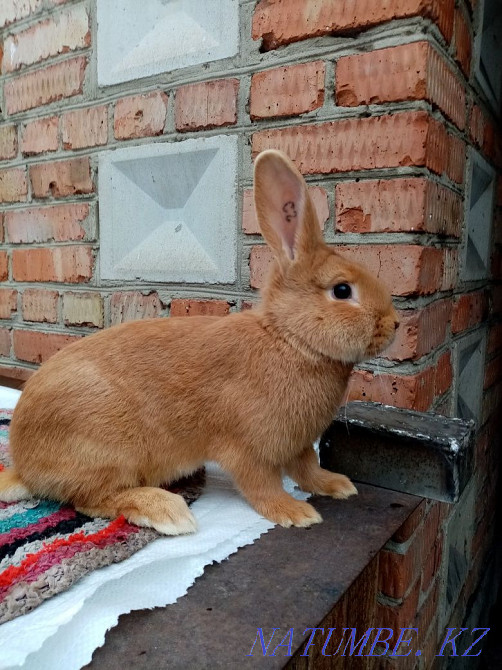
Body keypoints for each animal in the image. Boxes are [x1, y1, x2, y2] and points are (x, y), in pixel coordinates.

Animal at [0, 149, 399, 535]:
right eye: (342, 290)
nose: (394, 324)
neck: (291, 340)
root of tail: (25, 464)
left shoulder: (298, 444)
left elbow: (307, 469)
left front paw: (336, 485)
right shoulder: (249, 448)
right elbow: (262, 485)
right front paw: (295, 512)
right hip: (107, 451)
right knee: (91, 499)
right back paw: (166, 511)